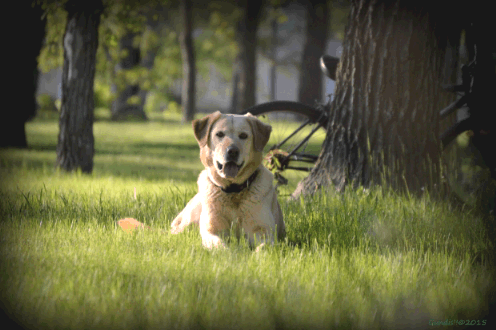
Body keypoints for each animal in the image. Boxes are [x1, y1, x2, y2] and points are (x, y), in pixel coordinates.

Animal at [171, 111, 284, 250]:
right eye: (219, 134)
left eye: (243, 135)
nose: (232, 151)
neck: (233, 191)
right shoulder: (211, 230)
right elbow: (219, 244)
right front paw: (228, 252)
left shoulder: (264, 231)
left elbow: (264, 246)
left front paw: (258, 253)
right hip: (189, 222)